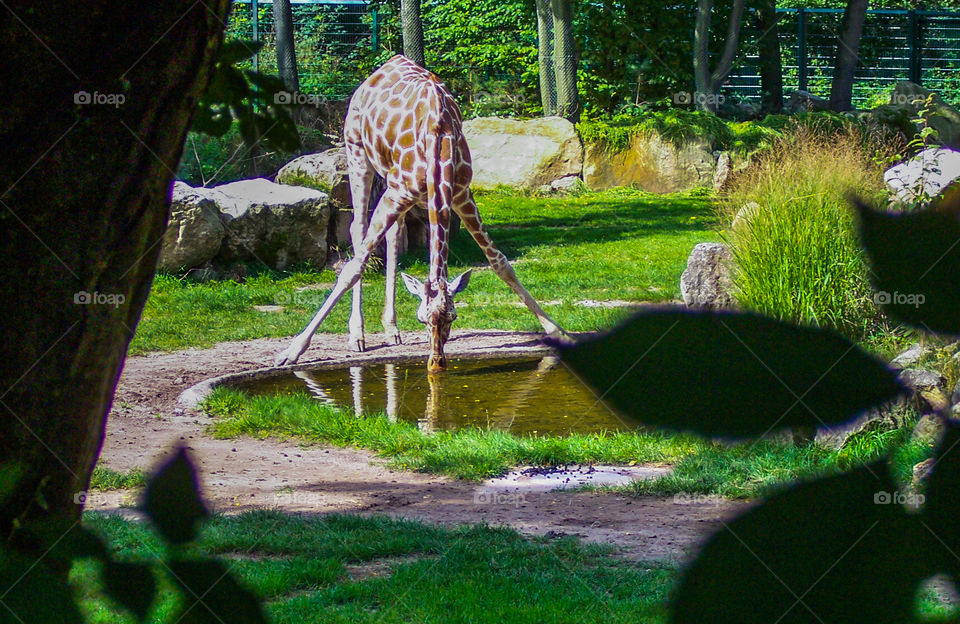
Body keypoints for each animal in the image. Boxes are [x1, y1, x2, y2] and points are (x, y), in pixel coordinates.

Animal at [274, 55, 567, 373]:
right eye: (421, 319)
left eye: (452, 317)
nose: (436, 363)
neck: (439, 141)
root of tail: (384, 67)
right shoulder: (399, 193)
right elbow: (354, 267)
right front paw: (291, 351)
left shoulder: (460, 194)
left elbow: (500, 263)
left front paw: (558, 331)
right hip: (358, 154)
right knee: (357, 228)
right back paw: (358, 335)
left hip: (394, 183)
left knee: (394, 235)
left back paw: (391, 330)